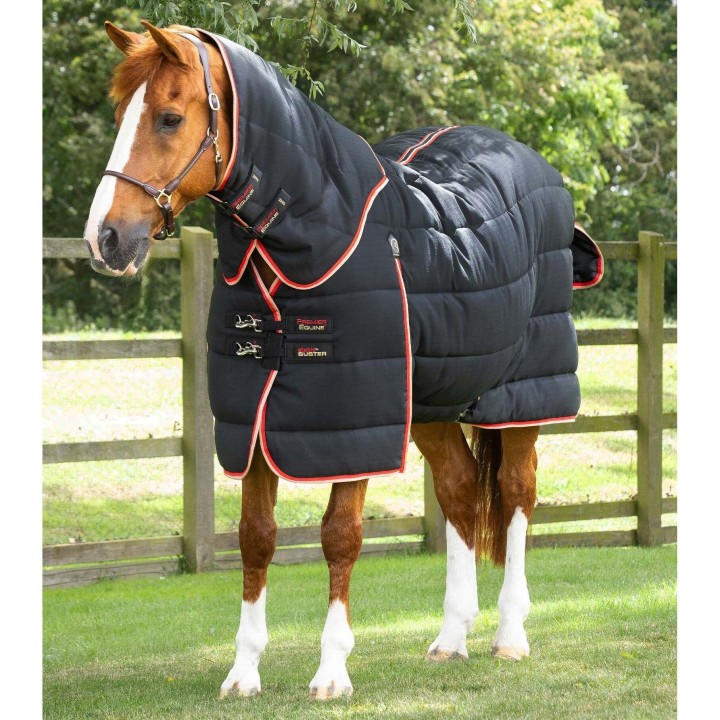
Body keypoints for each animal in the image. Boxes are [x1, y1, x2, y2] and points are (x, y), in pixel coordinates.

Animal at [84, 21, 602, 700]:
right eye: (122, 113)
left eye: (169, 118)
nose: (105, 239)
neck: (314, 235)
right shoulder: (258, 421)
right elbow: (255, 538)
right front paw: (243, 673)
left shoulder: (354, 424)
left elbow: (340, 537)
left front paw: (331, 672)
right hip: (430, 403)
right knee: (461, 490)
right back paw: (451, 638)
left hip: (521, 397)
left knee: (516, 494)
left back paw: (510, 636)